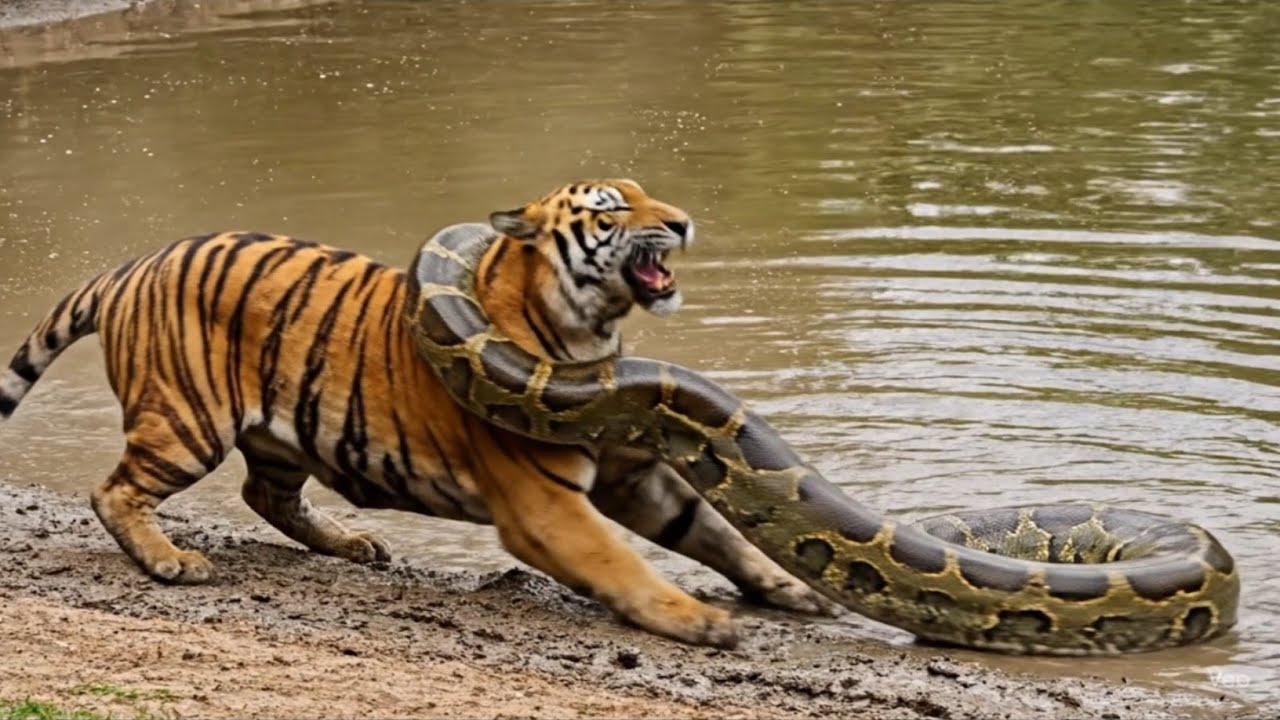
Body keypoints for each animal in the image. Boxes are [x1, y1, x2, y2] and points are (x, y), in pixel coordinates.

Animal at [0, 180, 830, 648]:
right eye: (615, 208)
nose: (683, 222)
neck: (591, 332)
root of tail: (130, 265)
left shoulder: (633, 475)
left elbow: (716, 532)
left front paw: (788, 587)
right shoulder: (545, 504)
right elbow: (617, 563)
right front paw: (697, 620)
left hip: (283, 432)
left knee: (262, 493)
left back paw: (351, 544)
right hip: (186, 422)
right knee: (115, 490)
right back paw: (170, 560)